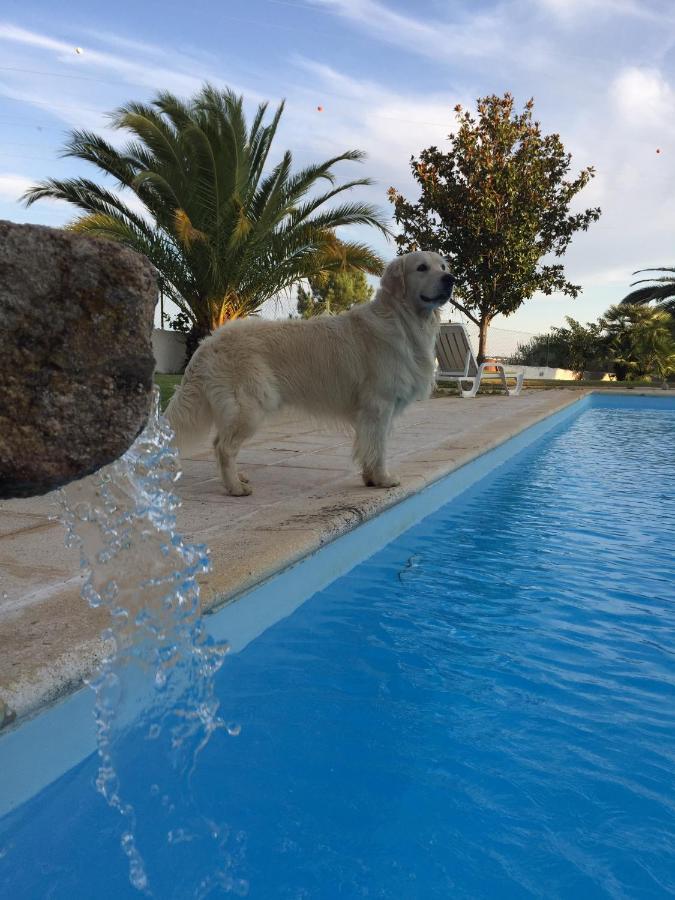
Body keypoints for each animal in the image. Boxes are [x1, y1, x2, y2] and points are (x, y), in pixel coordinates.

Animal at [166, 250, 456, 496]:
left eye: (443, 266)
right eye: (421, 268)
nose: (450, 279)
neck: (403, 319)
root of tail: (209, 342)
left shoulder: (371, 412)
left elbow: (368, 446)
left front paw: (370, 478)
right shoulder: (378, 405)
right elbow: (379, 448)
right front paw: (383, 480)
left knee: (219, 443)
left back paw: (236, 478)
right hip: (249, 406)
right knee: (223, 447)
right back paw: (236, 487)